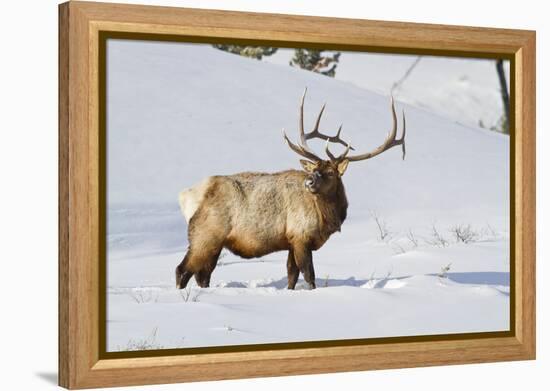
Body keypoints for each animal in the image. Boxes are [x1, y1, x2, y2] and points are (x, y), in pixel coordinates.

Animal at [175, 89, 408, 290]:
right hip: (205, 234)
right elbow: (309, 275)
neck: (327, 217)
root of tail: (186, 196)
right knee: (183, 270)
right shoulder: (301, 236)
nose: (309, 182)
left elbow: (291, 275)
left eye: (330, 172)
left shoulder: (290, 241)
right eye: (314, 169)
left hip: (214, 242)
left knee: (203, 274)